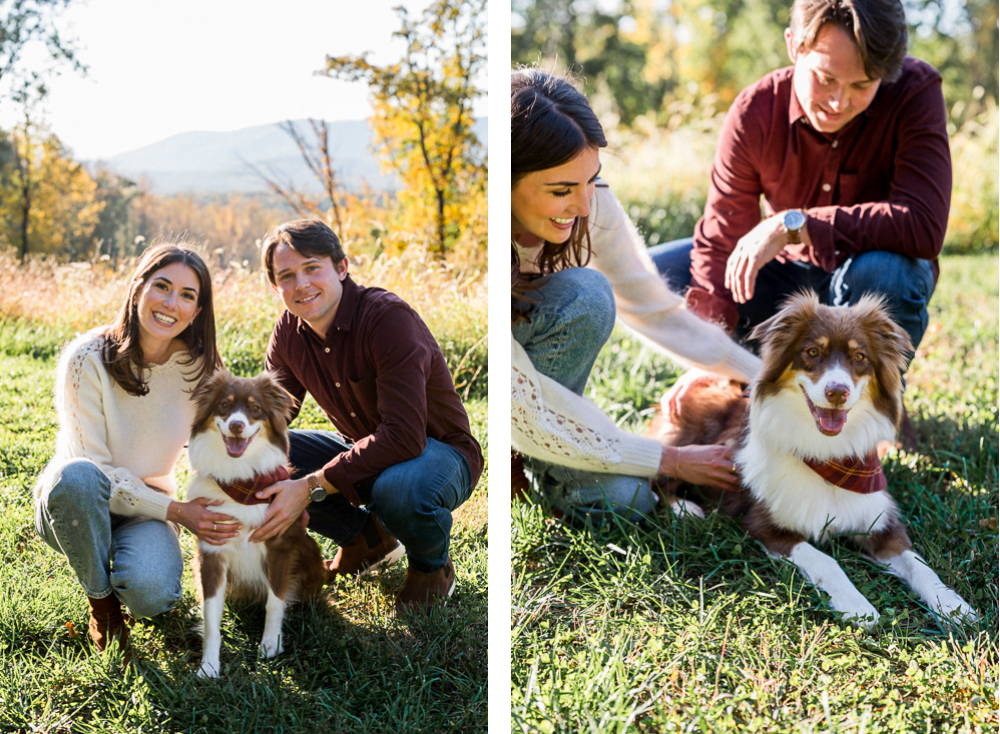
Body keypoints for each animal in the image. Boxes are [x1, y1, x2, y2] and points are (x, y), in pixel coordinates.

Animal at [186, 370, 330, 680]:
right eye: (224, 406)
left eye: (255, 408)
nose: (236, 425)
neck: (239, 478)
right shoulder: (212, 552)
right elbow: (211, 615)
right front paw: (209, 665)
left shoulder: (279, 546)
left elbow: (275, 601)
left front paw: (270, 646)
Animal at [648, 294, 976, 632]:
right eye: (812, 352)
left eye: (859, 356)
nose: (837, 392)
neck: (826, 454)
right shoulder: (766, 525)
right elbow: (825, 560)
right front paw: (858, 606)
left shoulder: (881, 524)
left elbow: (920, 565)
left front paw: (953, 605)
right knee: (659, 478)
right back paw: (686, 508)